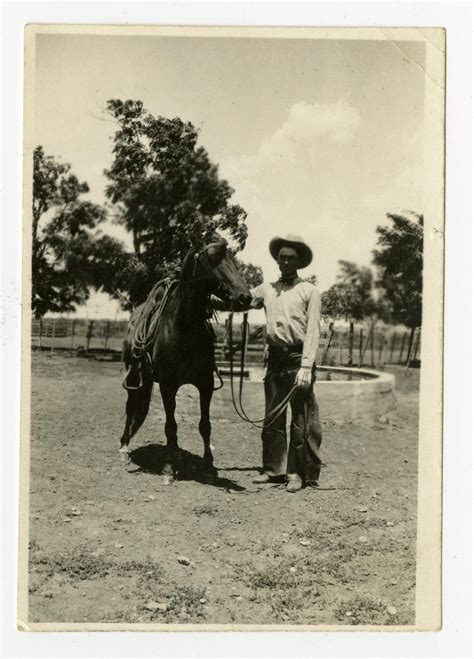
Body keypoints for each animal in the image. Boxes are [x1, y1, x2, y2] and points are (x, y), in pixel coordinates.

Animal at [119, 233, 252, 484]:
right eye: (213, 258)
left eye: (232, 258)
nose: (245, 297)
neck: (184, 326)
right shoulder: (168, 386)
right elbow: (171, 426)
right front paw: (169, 468)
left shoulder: (205, 384)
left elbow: (205, 425)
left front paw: (208, 465)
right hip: (133, 375)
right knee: (131, 407)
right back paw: (124, 447)